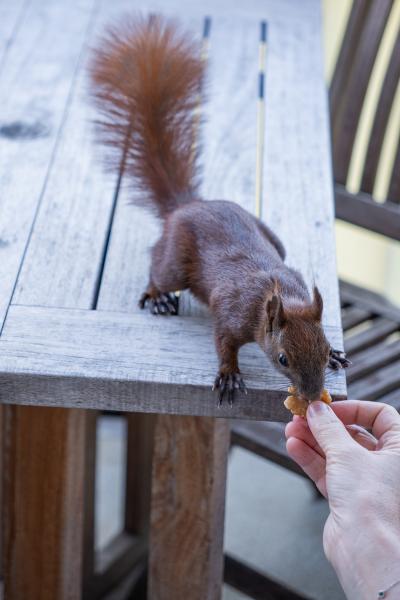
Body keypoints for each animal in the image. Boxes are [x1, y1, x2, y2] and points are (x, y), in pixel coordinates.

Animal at [89, 14, 348, 406]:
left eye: (324, 345)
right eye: (283, 358)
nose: (313, 395)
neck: (277, 297)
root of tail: (190, 204)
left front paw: (336, 356)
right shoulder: (231, 311)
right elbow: (224, 342)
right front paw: (228, 374)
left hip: (273, 237)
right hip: (176, 262)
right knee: (157, 268)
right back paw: (158, 296)